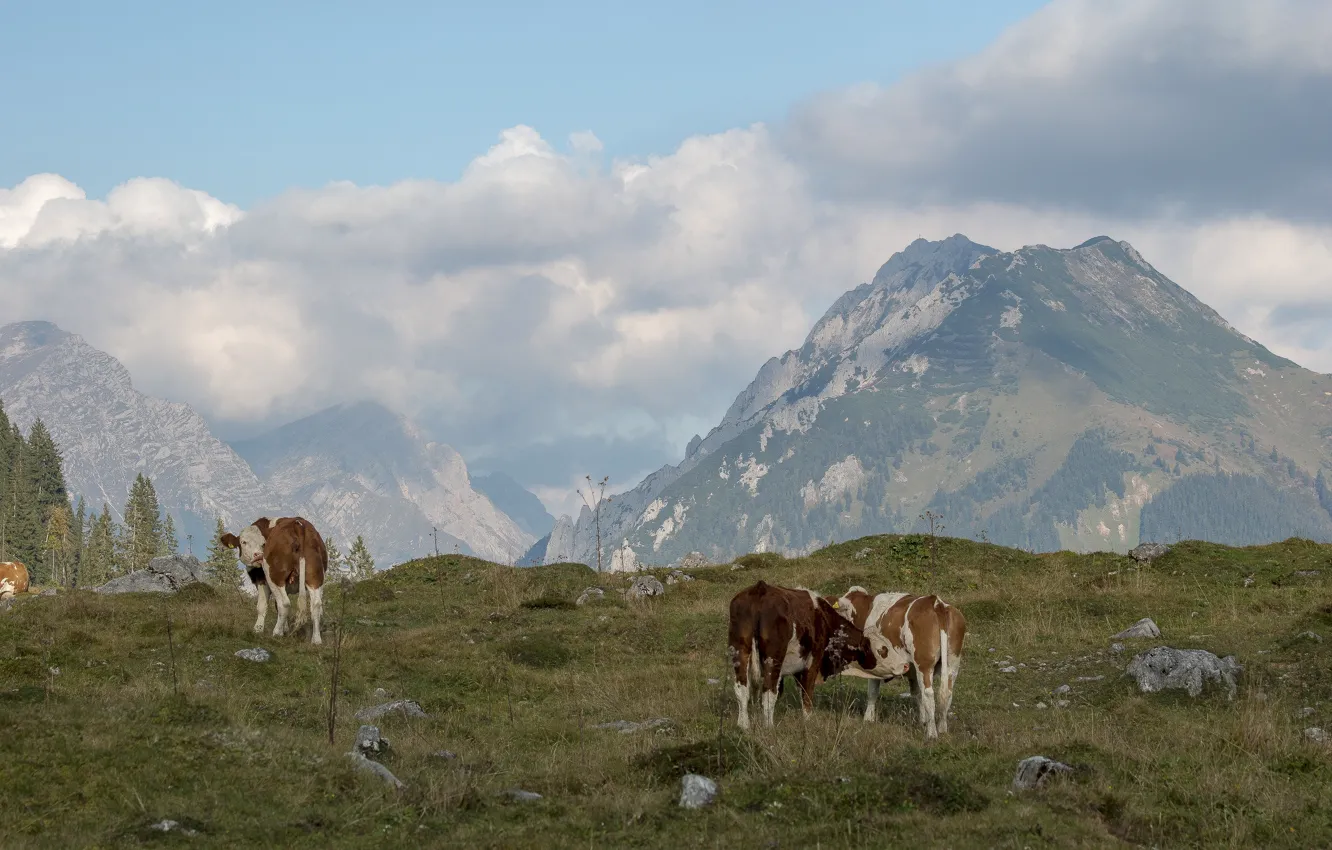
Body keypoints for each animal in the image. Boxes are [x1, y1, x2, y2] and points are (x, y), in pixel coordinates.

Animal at [221, 517, 328, 645]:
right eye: (244, 542)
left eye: (263, 544)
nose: (258, 555)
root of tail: (297, 524)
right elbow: (277, 606)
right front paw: (285, 629)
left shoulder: (261, 579)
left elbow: (262, 605)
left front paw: (258, 629)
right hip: (315, 577)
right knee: (316, 604)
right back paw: (316, 639)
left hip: (275, 577)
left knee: (285, 603)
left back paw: (276, 633)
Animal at [728, 580, 905, 730]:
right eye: (883, 649)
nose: (905, 665)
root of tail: (760, 590)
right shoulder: (813, 661)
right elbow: (806, 693)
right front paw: (807, 720)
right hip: (773, 658)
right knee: (768, 691)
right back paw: (769, 727)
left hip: (740, 652)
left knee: (742, 689)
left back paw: (743, 725)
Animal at [830, 586, 967, 739]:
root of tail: (936, 603)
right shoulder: (912, 669)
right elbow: (916, 694)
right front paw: (922, 720)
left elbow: (872, 691)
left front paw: (868, 719)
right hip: (952, 662)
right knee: (946, 693)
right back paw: (942, 728)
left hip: (924, 664)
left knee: (929, 694)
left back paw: (932, 733)